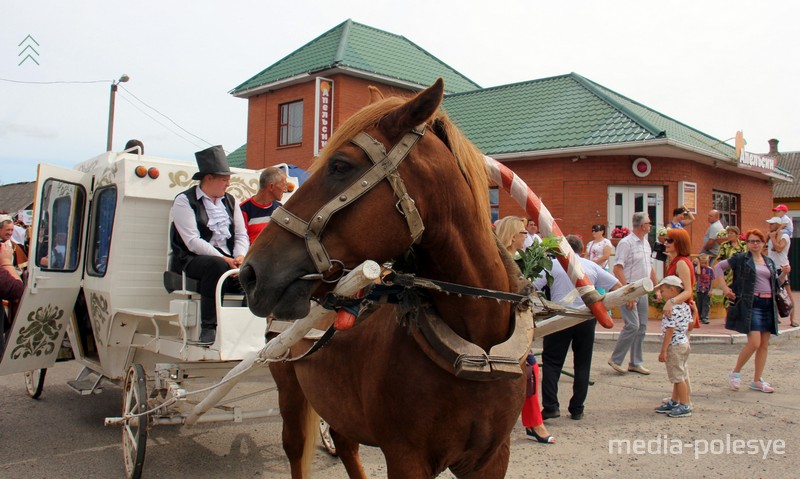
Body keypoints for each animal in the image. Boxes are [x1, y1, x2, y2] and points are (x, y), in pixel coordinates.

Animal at [241, 79, 536, 479]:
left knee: (345, 444)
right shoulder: (405, 457)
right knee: (296, 448)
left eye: (340, 165)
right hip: (289, 388)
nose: (250, 272)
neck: (476, 344)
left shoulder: (492, 458)